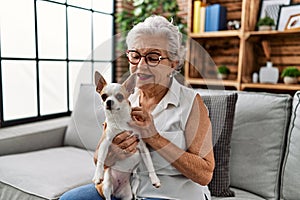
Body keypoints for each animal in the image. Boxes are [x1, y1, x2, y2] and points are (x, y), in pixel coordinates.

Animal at [92, 72, 161, 200]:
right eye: (104, 96)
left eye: (119, 96)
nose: (108, 102)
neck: (120, 120)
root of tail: (116, 192)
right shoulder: (105, 143)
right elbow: (100, 160)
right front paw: (98, 175)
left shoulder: (142, 147)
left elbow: (150, 164)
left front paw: (155, 180)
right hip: (107, 184)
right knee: (108, 196)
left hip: (132, 187)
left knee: (132, 193)